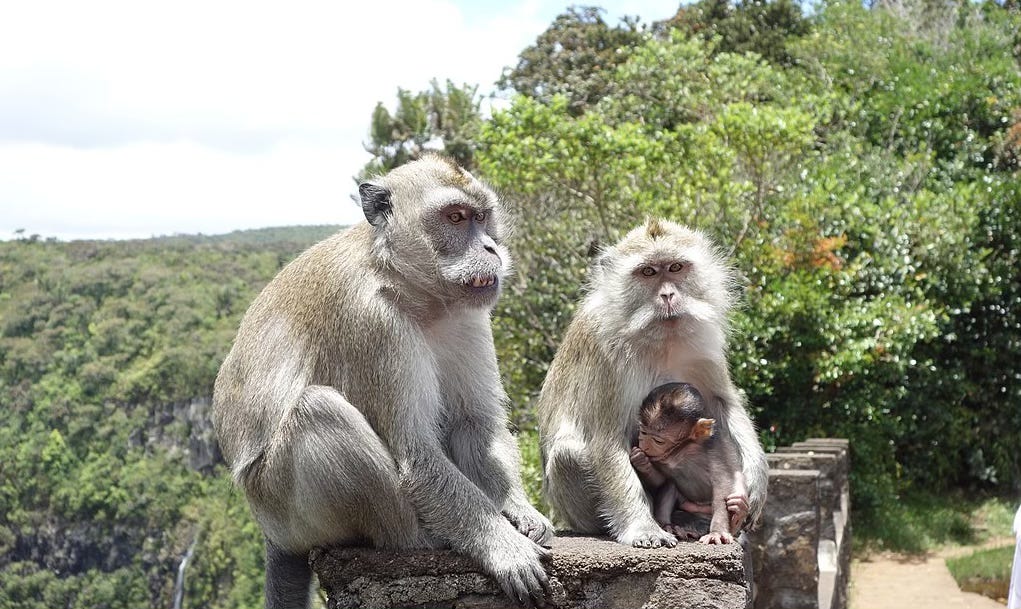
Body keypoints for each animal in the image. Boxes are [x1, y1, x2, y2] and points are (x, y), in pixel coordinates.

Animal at [212, 154, 553, 609]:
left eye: (482, 217)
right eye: (456, 217)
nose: (491, 248)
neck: (408, 287)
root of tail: (271, 534)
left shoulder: (468, 314)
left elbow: (474, 425)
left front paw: (520, 512)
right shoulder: (372, 325)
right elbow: (417, 455)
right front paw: (504, 547)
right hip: (281, 504)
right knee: (320, 411)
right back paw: (419, 538)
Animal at [629, 382, 744, 545]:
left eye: (658, 441)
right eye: (643, 432)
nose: (643, 445)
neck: (682, 449)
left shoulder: (716, 449)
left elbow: (722, 485)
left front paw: (717, 532)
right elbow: (661, 480)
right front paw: (641, 460)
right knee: (670, 485)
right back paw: (670, 526)